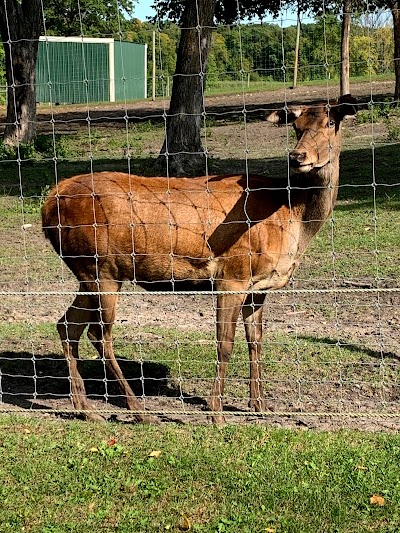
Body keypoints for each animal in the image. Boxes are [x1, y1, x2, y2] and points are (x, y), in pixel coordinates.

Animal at [42, 93, 358, 422]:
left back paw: (86, 408)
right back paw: (138, 410)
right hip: (100, 267)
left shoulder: (259, 286)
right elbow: (225, 342)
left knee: (67, 325)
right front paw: (216, 412)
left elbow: (256, 340)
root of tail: (48, 204)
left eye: (331, 122)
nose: (297, 157)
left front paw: (260, 405)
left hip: (89, 271)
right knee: (99, 334)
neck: (291, 214)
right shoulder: (232, 275)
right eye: (296, 126)